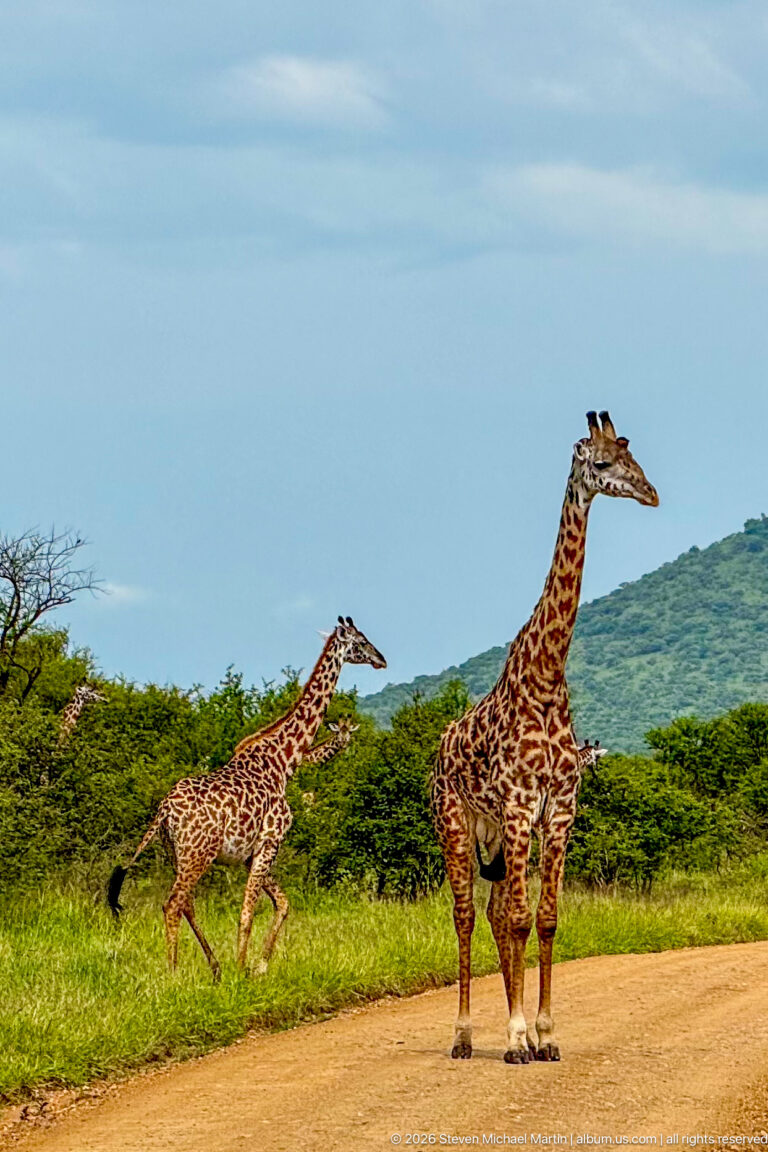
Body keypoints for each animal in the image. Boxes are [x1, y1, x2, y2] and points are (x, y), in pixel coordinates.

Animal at [108, 617, 385, 980]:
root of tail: (164, 810)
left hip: (177, 854)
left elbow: (282, 903)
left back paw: (214, 966)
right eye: (362, 641)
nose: (382, 659)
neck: (284, 761)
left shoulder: (250, 854)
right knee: (173, 904)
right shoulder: (270, 841)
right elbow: (249, 911)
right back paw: (175, 973)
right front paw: (244, 969)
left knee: (186, 903)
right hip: (199, 854)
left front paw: (258, 965)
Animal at [432, 410, 657, 1064]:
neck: (548, 675)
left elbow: (546, 918)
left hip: (493, 834)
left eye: (632, 455)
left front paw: (546, 1034)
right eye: (601, 463)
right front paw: (514, 1038)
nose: (651, 494)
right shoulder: (518, 802)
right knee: (465, 913)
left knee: (493, 909)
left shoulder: (559, 808)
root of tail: (438, 750)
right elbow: (520, 919)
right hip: (456, 822)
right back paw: (464, 1036)